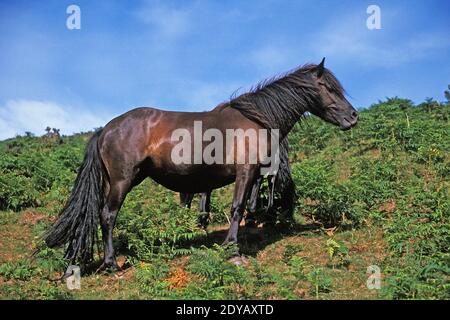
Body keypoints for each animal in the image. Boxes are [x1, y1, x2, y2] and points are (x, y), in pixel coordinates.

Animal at [44, 59, 356, 270]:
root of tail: (106, 129)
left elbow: (250, 206)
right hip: (123, 180)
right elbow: (237, 208)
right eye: (328, 88)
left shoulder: (254, 176)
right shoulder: (245, 173)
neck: (256, 119)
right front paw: (232, 249)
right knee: (108, 216)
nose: (353, 117)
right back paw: (110, 264)